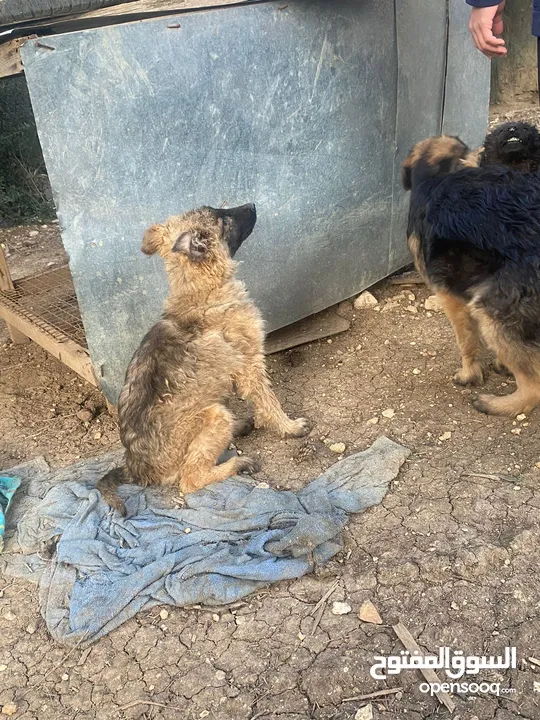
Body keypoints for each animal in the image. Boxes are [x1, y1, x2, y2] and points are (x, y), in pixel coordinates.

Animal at [96, 202, 308, 512]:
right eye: (224, 218)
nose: (253, 204)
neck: (201, 290)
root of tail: (137, 471)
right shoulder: (250, 365)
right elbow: (269, 403)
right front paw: (289, 427)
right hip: (214, 417)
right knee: (191, 479)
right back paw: (237, 464)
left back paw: (240, 426)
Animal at [400, 136, 540, 416]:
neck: (438, 176)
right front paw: (501, 364)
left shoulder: (450, 297)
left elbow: (466, 342)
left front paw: (468, 375)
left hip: (492, 312)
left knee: (534, 388)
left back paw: (495, 404)